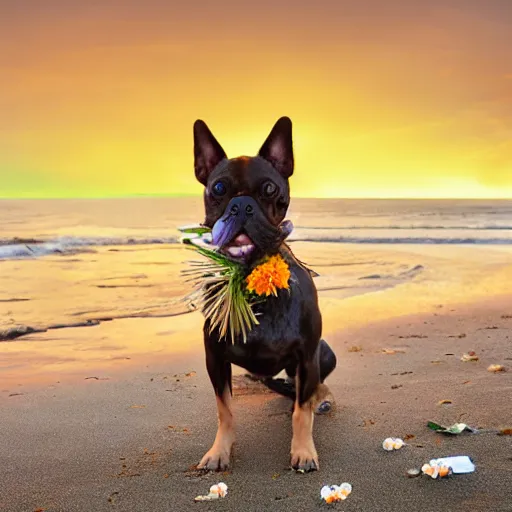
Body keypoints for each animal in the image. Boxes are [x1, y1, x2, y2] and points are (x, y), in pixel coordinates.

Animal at [192, 116, 336, 472]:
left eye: (270, 188)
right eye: (218, 189)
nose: (242, 205)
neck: (248, 278)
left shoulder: (307, 356)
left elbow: (301, 412)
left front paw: (303, 451)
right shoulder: (215, 359)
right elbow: (225, 410)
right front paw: (220, 451)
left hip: (324, 352)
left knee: (312, 390)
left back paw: (322, 397)